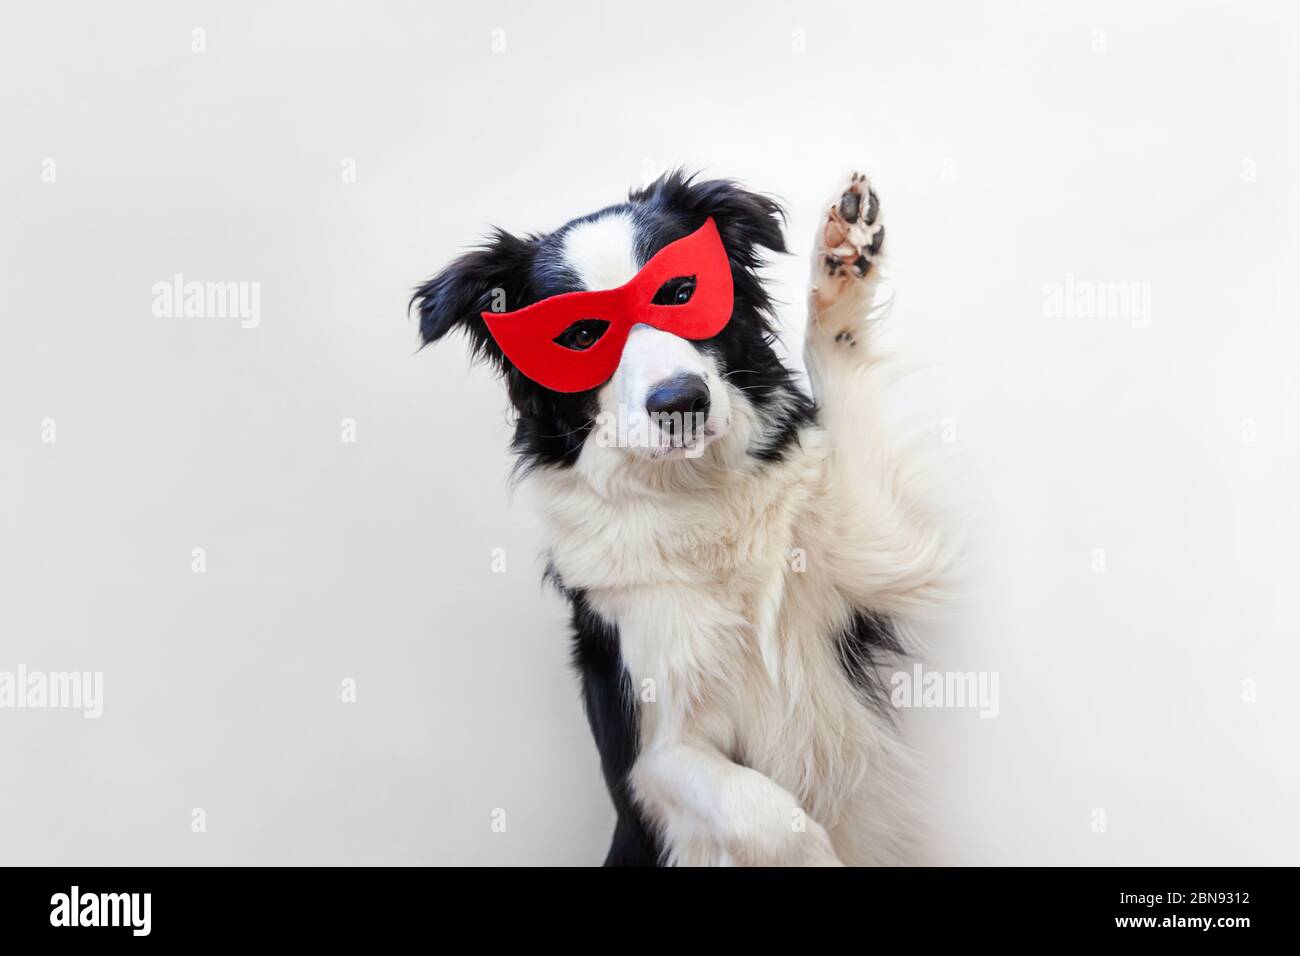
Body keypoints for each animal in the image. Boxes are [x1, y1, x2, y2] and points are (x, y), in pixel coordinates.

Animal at [416, 171, 956, 868]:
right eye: (581, 337)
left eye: (680, 293)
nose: (681, 401)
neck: (697, 493)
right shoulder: (652, 753)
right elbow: (773, 817)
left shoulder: (880, 547)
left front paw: (842, 260)